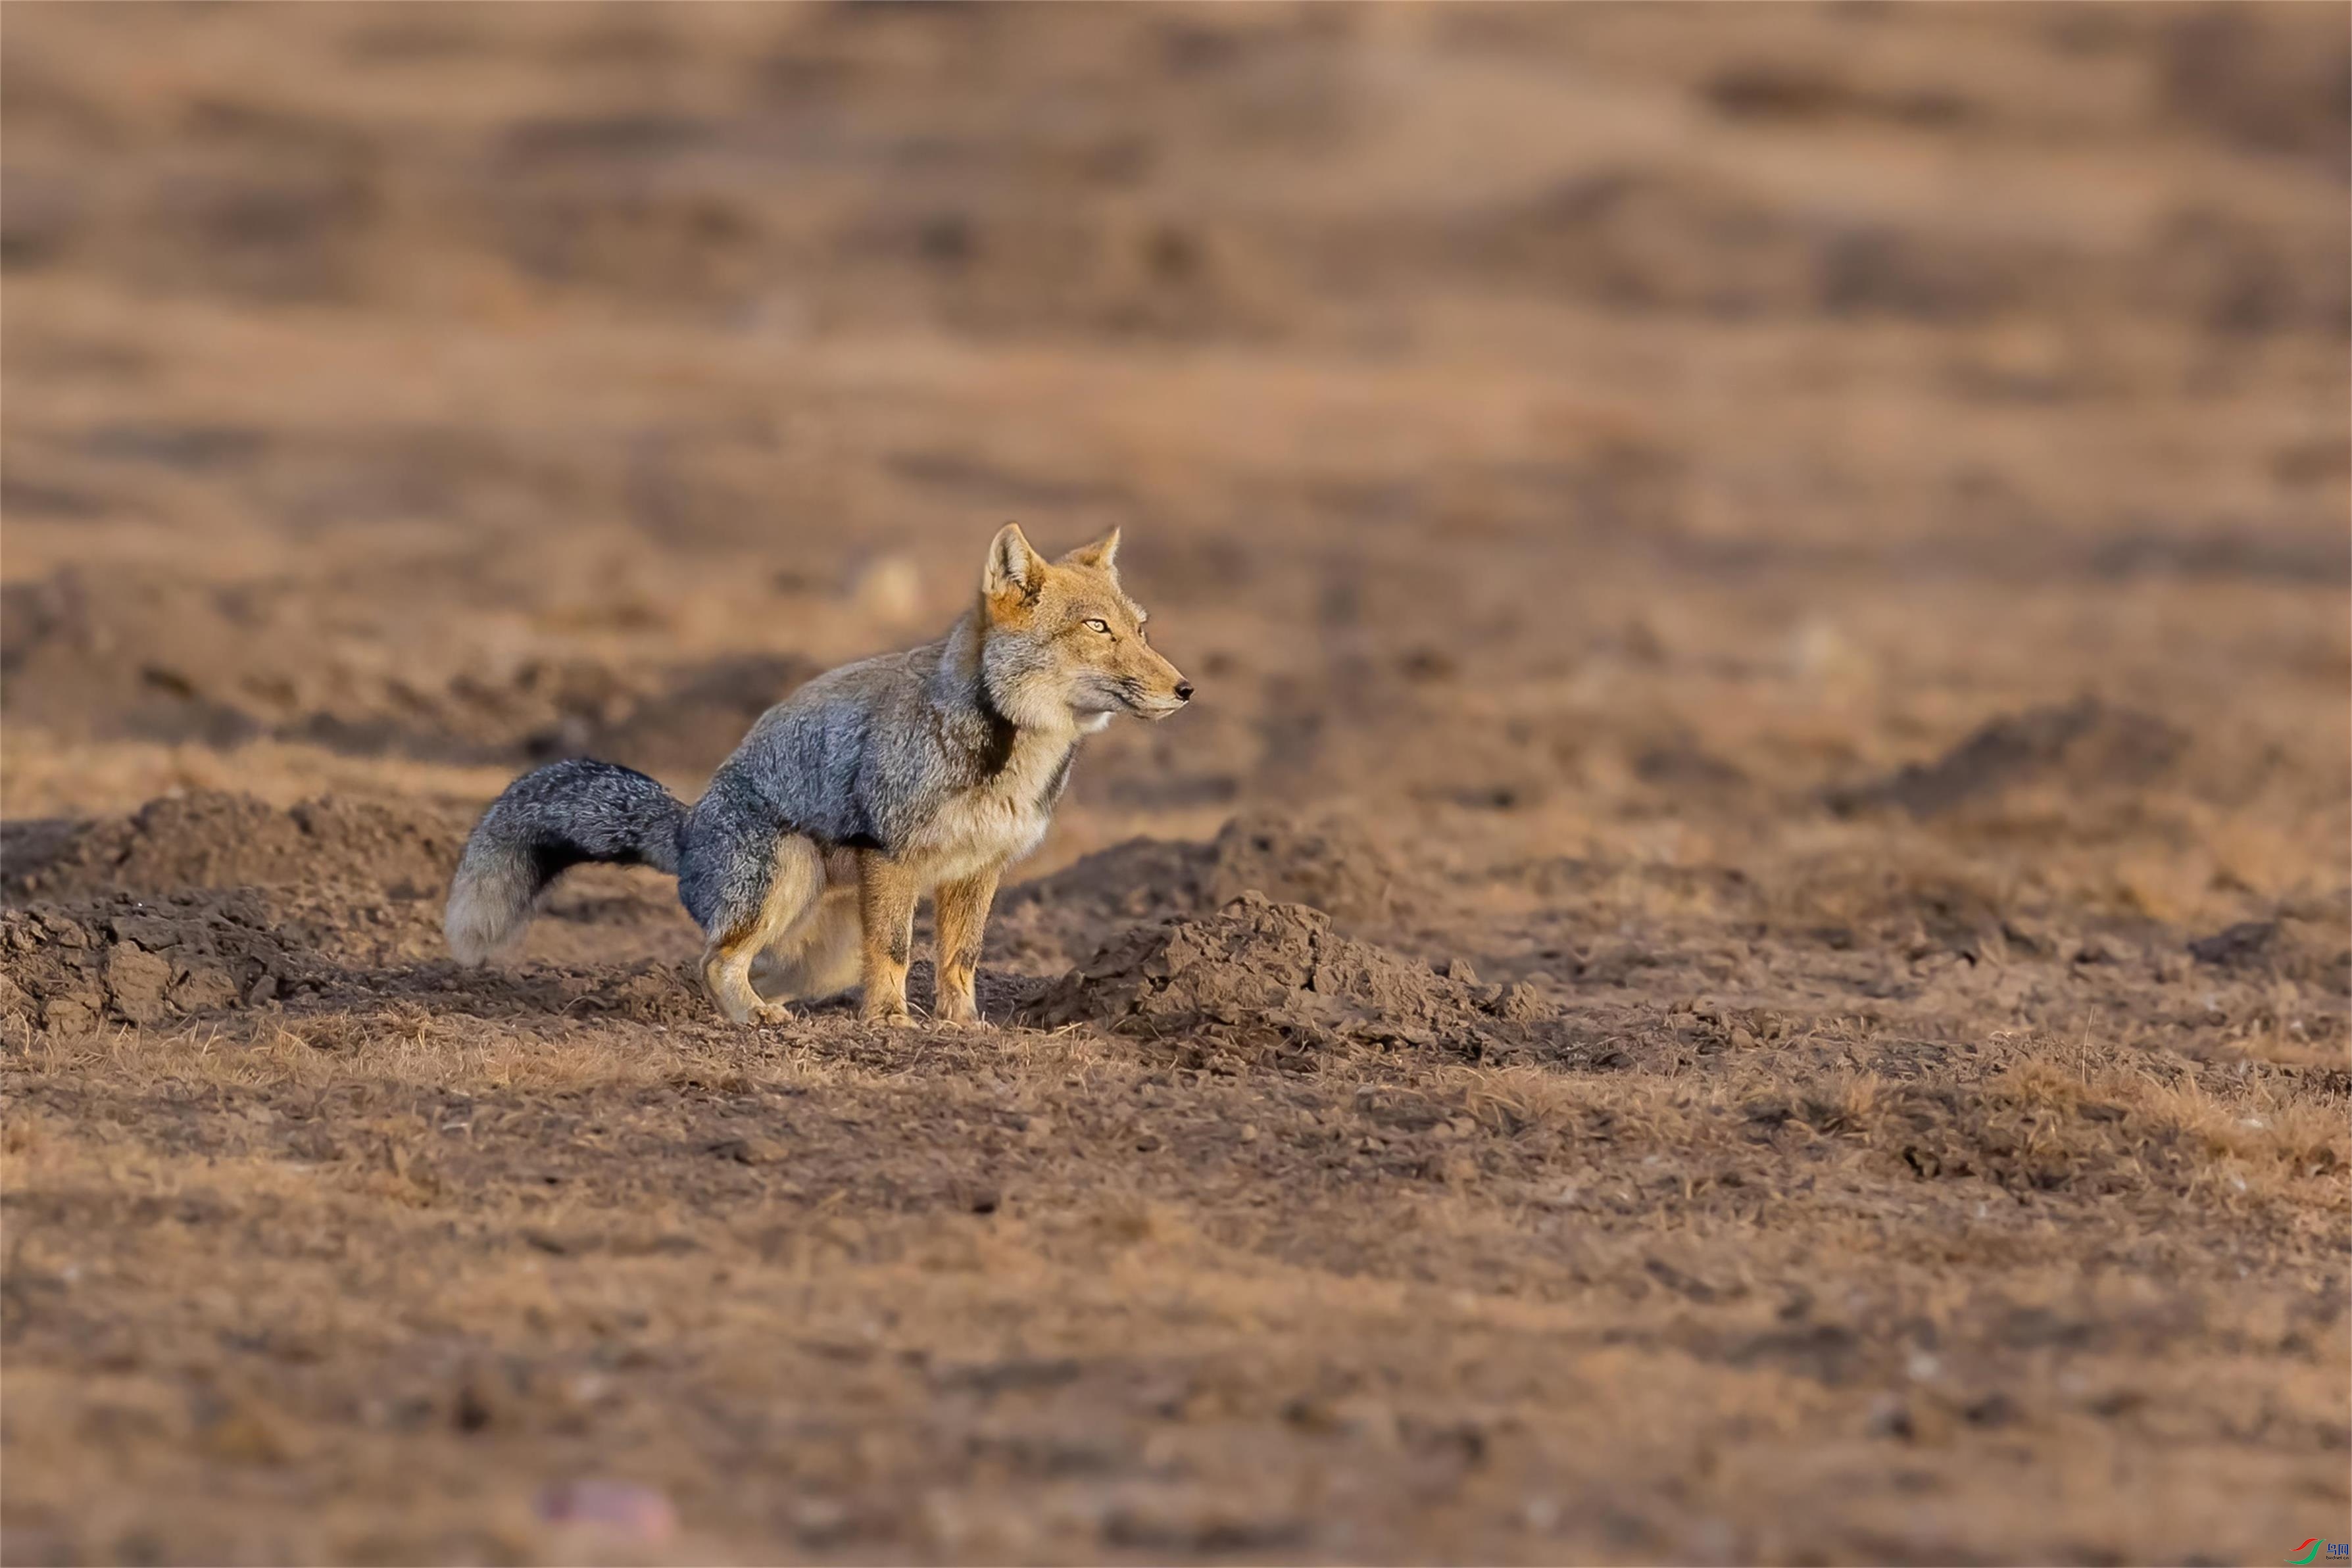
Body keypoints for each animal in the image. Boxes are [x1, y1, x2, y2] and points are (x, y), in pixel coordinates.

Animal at [442, 526, 1194, 1029]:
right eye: (1097, 629)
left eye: (1141, 629)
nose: (1185, 689)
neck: (1004, 756)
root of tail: (689, 825)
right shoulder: (893, 856)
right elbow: (897, 950)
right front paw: (890, 1024)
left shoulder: (979, 869)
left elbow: (961, 957)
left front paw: (962, 1027)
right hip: (784, 880)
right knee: (714, 960)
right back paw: (754, 1019)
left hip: (822, 941)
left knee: (745, 965)